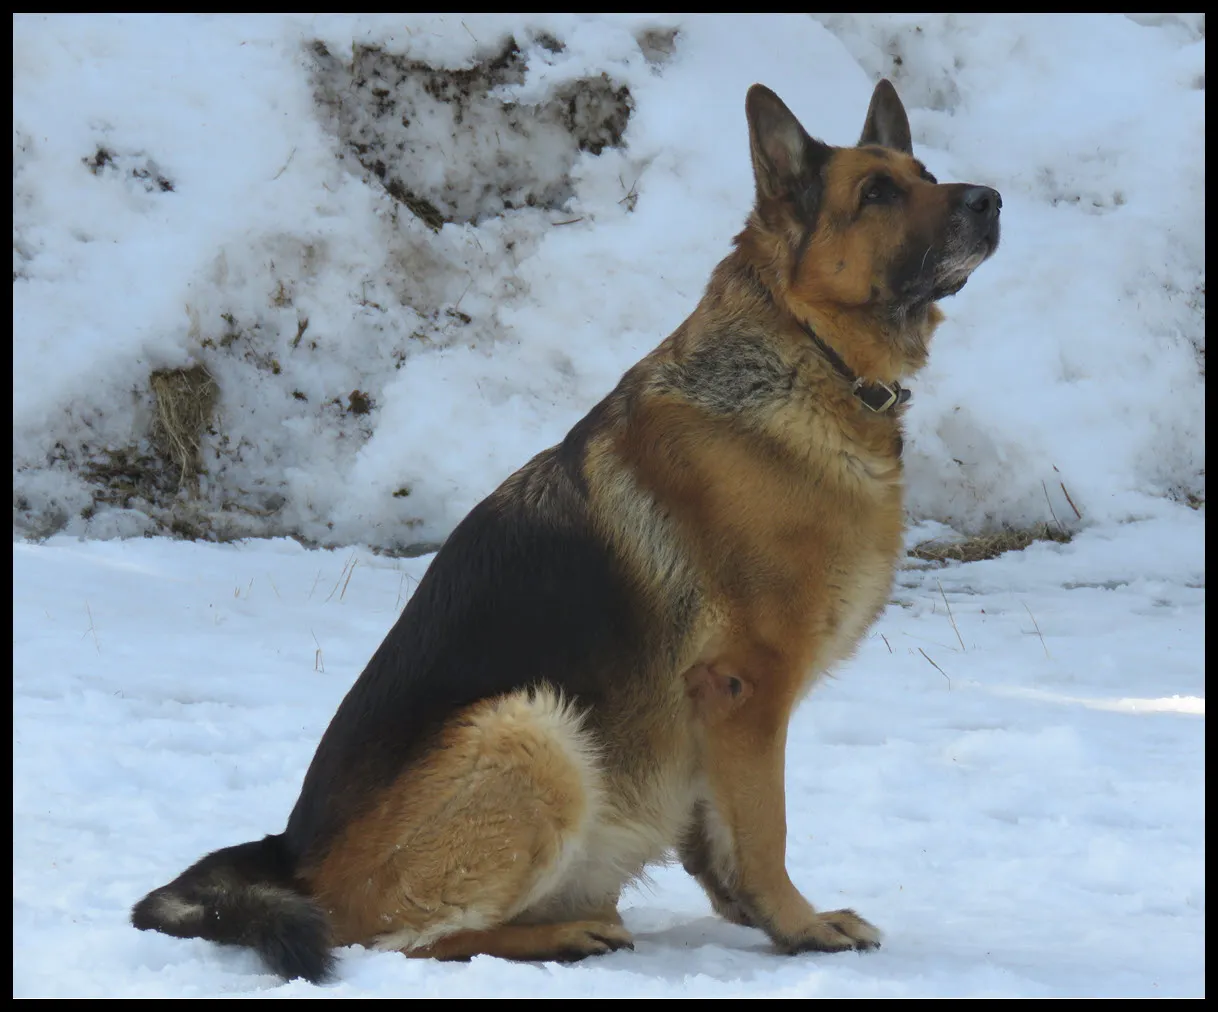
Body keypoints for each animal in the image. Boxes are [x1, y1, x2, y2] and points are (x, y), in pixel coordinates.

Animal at [133, 79, 998, 983]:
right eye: (878, 193)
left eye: (924, 175)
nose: (991, 200)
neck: (807, 347)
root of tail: (290, 855)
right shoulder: (745, 689)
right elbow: (766, 831)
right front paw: (799, 925)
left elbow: (720, 839)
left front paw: (756, 915)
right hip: (530, 731)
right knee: (404, 941)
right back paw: (561, 936)